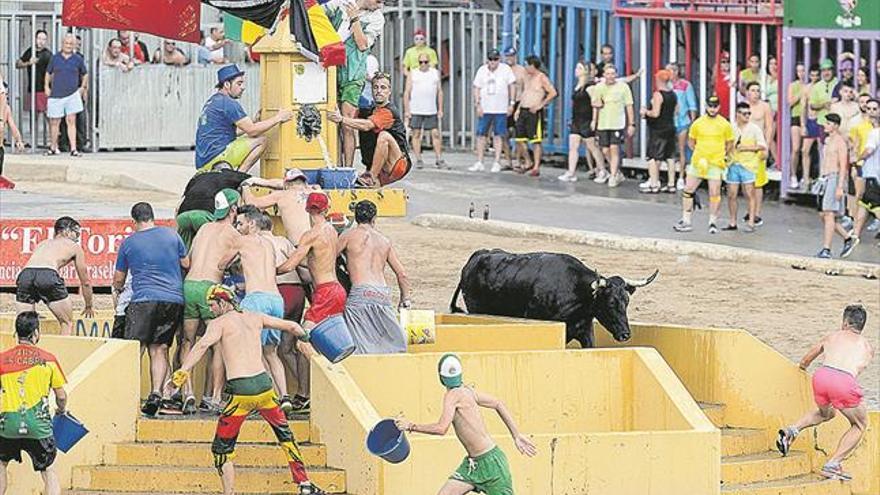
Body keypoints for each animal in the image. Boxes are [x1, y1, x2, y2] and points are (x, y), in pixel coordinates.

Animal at [450, 250, 656, 346]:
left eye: (627, 302)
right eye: (611, 302)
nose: (625, 335)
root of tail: (478, 255)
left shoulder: (585, 332)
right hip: (475, 309)